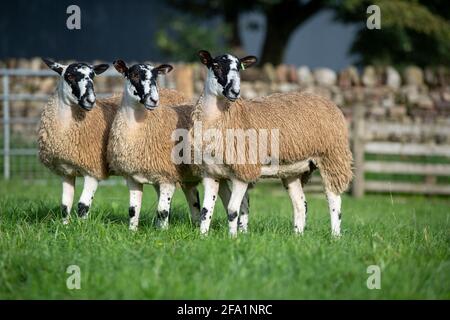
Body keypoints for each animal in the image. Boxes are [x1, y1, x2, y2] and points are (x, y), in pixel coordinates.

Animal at [37, 58, 119, 224]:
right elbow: (65, 204)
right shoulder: (66, 171)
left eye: (93, 76)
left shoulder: (93, 169)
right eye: (69, 76)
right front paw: (65, 226)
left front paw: (82, 227)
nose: (90, 100)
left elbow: (83, 205)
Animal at [190, 50, 352, 238]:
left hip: (332, 157)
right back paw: (297, 236)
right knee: (301, 204)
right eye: (215, 66)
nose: (235, 92)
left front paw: (233, 239)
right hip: (293, 170)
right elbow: (205, 210)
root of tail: (328, 101)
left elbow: (232, 210)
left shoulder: (243, 171)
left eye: (239, 68)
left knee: (334, 199)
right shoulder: (210, 173)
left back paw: (335, 236)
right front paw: (203, 237)